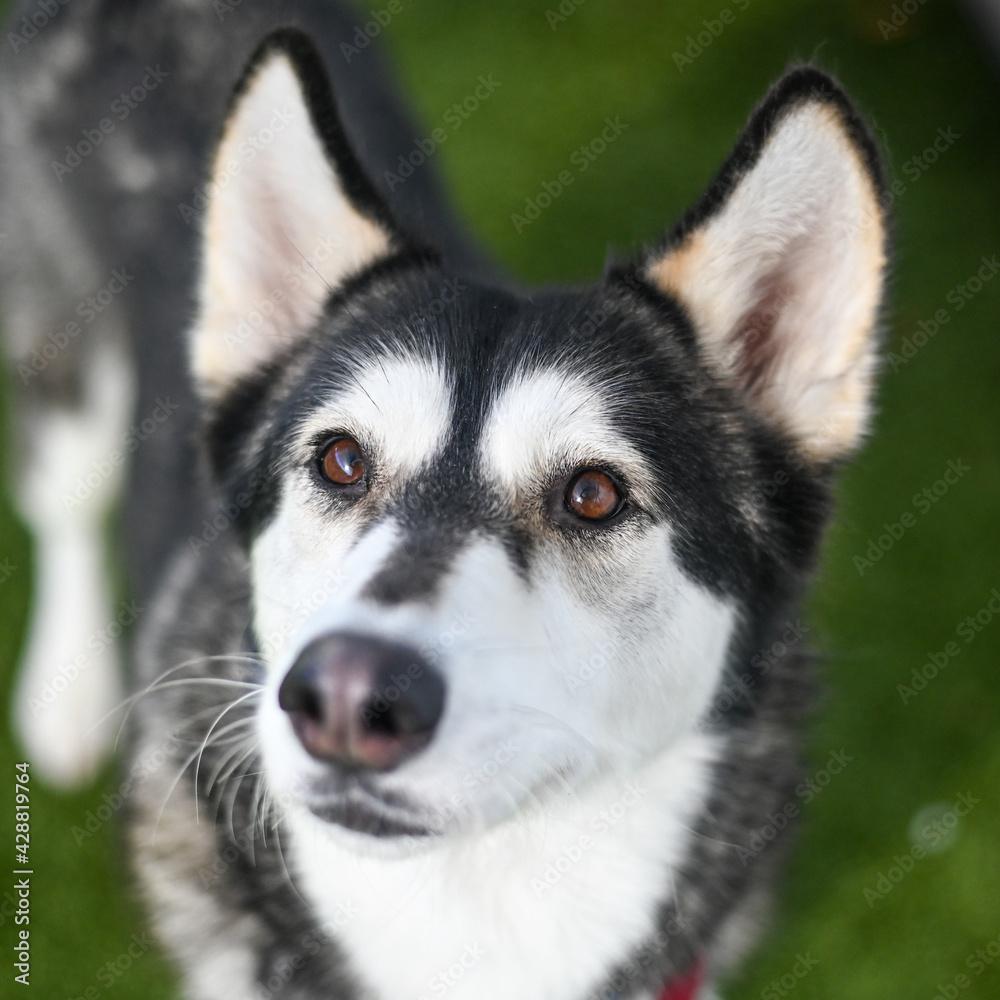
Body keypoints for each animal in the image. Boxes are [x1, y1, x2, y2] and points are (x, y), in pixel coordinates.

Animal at [3, 1, 888, 1000]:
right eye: (342, 460)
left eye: (593, 495)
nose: (347, 697)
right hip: (64, 365)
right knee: (67, 502)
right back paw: (67, 691)